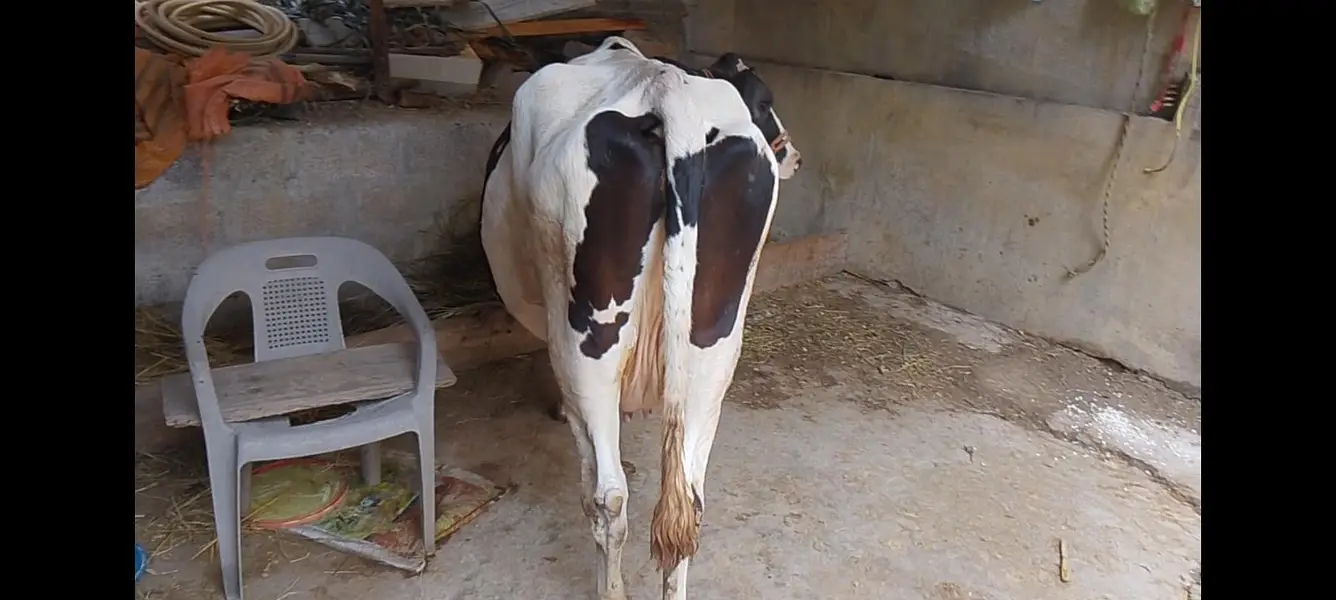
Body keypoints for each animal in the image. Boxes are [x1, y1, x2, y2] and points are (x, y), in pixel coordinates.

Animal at [479, 36, 802, 600]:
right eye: (763, 101)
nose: (795, 157)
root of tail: (665, 90)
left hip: (589, 342)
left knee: (609, 497)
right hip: (714, 347)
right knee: (688, 503)